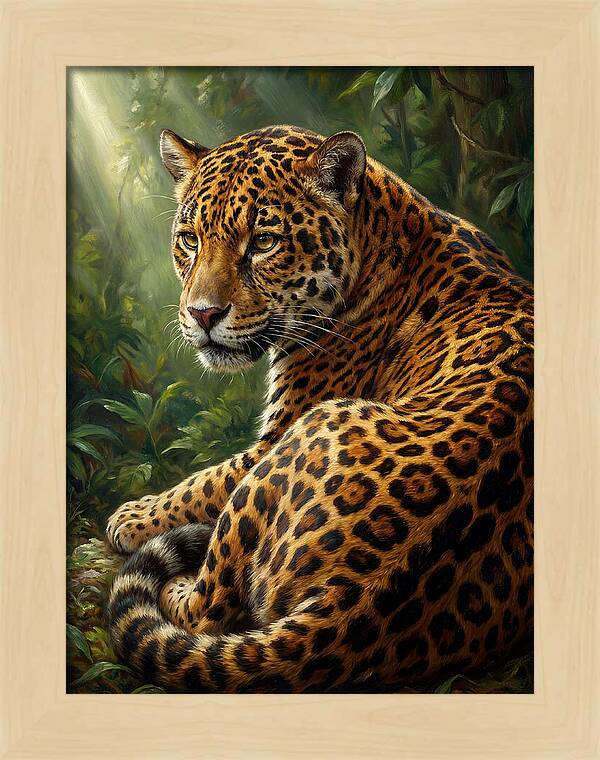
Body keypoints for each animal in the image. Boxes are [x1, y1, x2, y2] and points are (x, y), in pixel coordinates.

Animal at [106, 124, 533, 693]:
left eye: (263, 242)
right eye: (190, 239)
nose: (202, 314)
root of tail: (351, 606)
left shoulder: (275, 434)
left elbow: (203, 483)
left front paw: (132, 516)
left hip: (305, 433)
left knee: (206, 610)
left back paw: (177, 582)